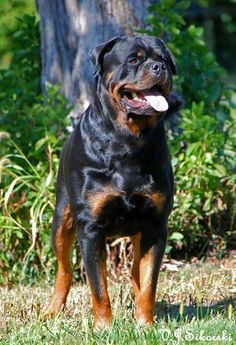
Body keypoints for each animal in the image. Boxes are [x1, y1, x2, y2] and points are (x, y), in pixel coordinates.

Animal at [45, 35, 175, 328]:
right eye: (134, 60)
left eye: (163, 58)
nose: (159, 67)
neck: (129, 140)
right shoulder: (91, 227)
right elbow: (98, 285)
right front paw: (103, 327)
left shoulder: (155, 225)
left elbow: (149, 283)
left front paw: (145, 325)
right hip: (62, 219)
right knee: (64, 269)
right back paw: (52, 311)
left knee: (137, 272)